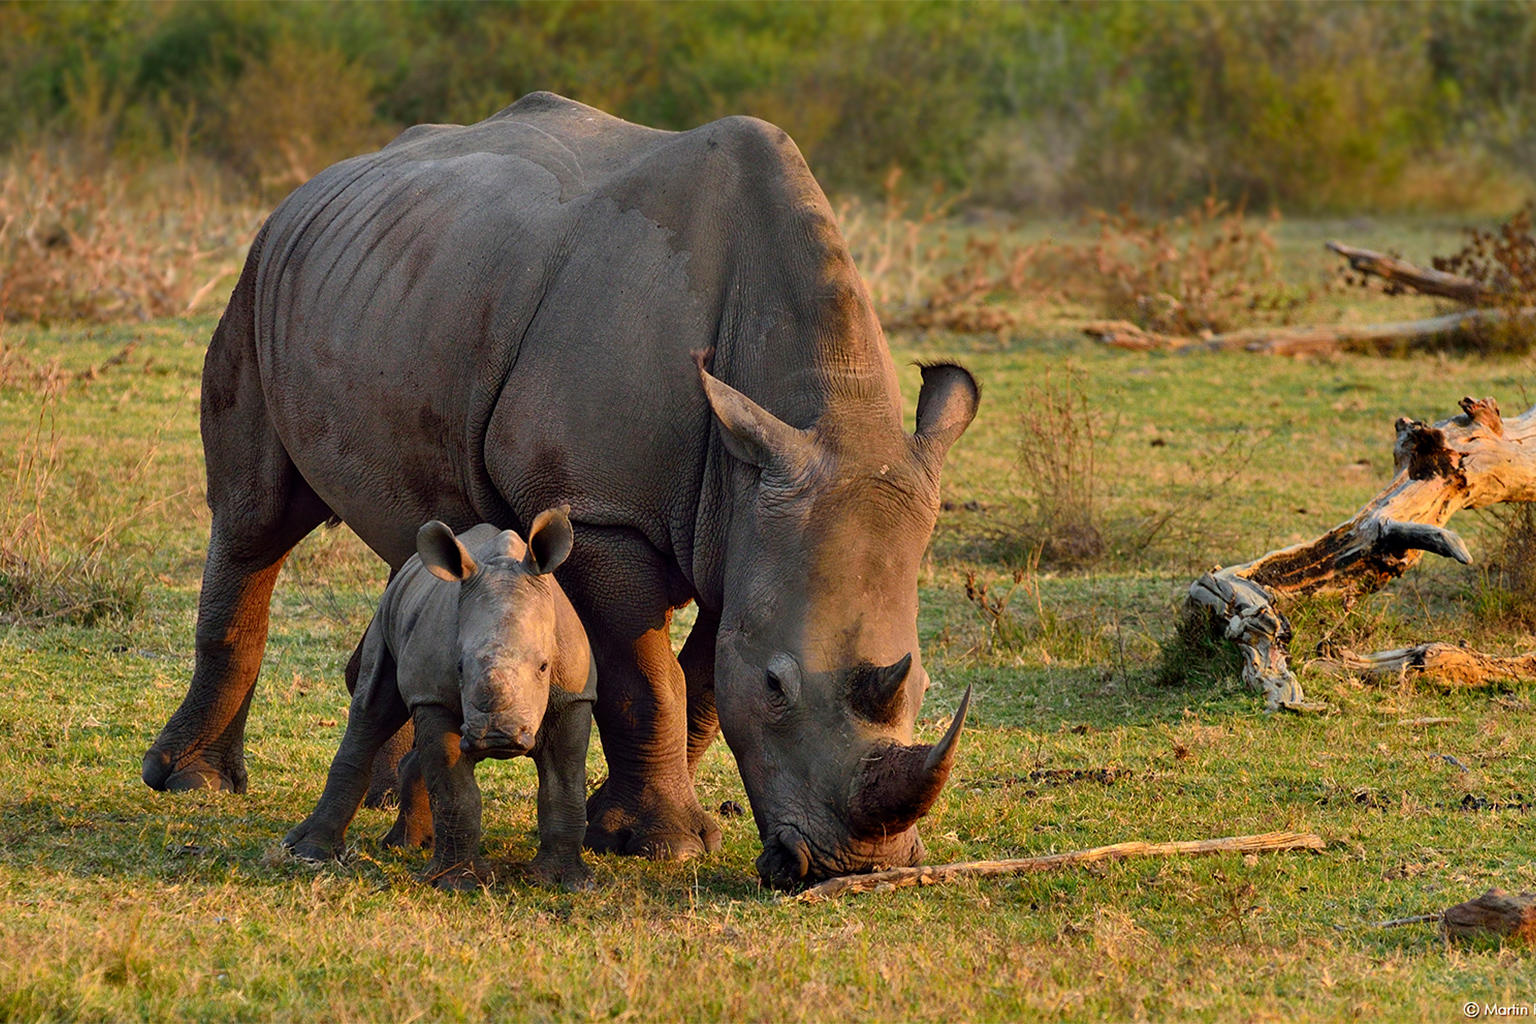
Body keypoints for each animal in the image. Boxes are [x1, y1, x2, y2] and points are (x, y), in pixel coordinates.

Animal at [285, 512, 595, 890]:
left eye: (543, 666)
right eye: (459, 666)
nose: (497, 737)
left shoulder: (573, 695)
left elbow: (564, 786)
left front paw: (565, 881)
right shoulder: (433, 697)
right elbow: (455, 790)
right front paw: (457, 883)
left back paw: (408, 845)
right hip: (386, 612)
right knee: (370, 713)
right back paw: (310, 852)